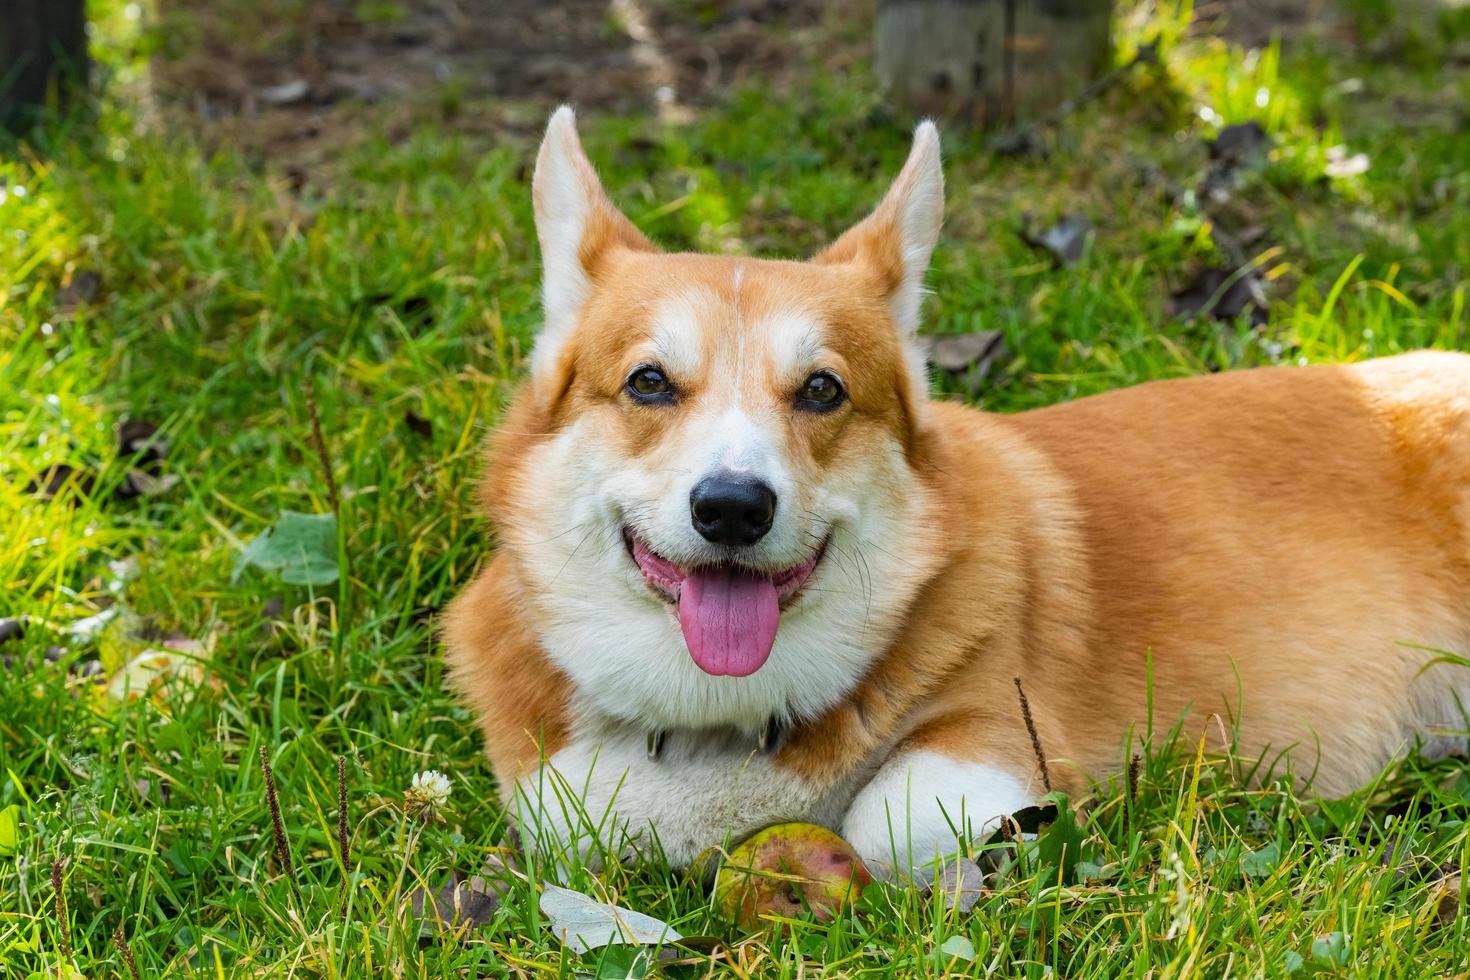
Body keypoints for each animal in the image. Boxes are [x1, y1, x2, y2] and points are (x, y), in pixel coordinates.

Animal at [443, 107, 1470, 875]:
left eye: (823, 390)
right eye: (649, 382)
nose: (733, 508)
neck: (721, 718)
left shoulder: (994, 728)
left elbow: (883, 822)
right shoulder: (559, 803)